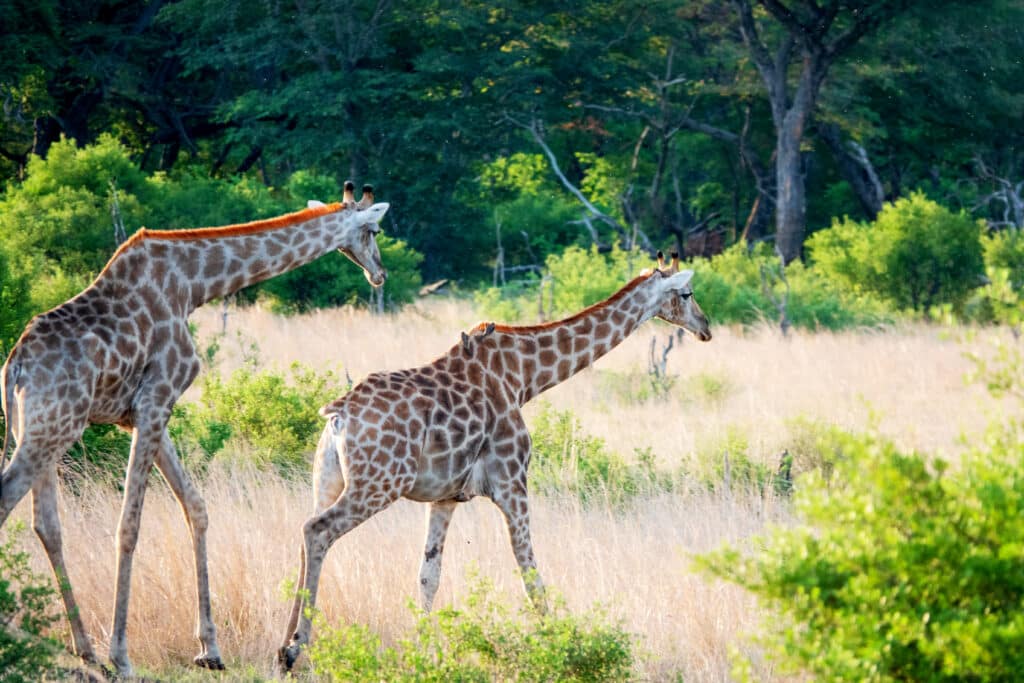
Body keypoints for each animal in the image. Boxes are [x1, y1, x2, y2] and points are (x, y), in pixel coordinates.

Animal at [0, 183, 387, 679]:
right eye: (374, 231)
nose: (380, 273)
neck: (193, 286)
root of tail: (14, 365)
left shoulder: (141, 411)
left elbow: (196, 507)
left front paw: (209, 649)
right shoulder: (157, 398)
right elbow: (130, 524)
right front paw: (122, 656)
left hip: (41, 430)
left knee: (46, 524)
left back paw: (84, 652)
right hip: (52, 428)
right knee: (10, 503)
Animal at [278, 250, 712, 671]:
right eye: (687, 293)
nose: (706, 327)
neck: (524, 378)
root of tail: (338, 417)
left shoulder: (445, 497)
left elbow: (428, 574)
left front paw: (421, 649)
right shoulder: (512, 482)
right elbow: (529, 571)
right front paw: (559, 645)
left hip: (328, 480)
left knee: (304, 537)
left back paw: (284, 646)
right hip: (379, 483)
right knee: (317, 530)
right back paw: (297, 649)